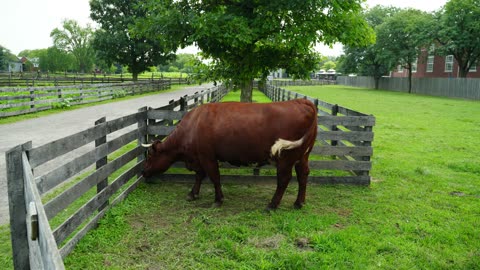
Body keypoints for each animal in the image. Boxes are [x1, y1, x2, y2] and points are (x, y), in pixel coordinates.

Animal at [141, 98, 316, 210]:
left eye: (150, 155)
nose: (143, 171)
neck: (193, 124)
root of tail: (302, 101)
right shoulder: (199, 158)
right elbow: (199, 176)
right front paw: (193, 194)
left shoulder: (207, 156)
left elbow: (214, 177)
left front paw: (218, 200)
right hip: (303, 155)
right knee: (303, 174)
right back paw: (299, 203)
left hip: (286, 157)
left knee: (284, 179)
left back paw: (272, 205)